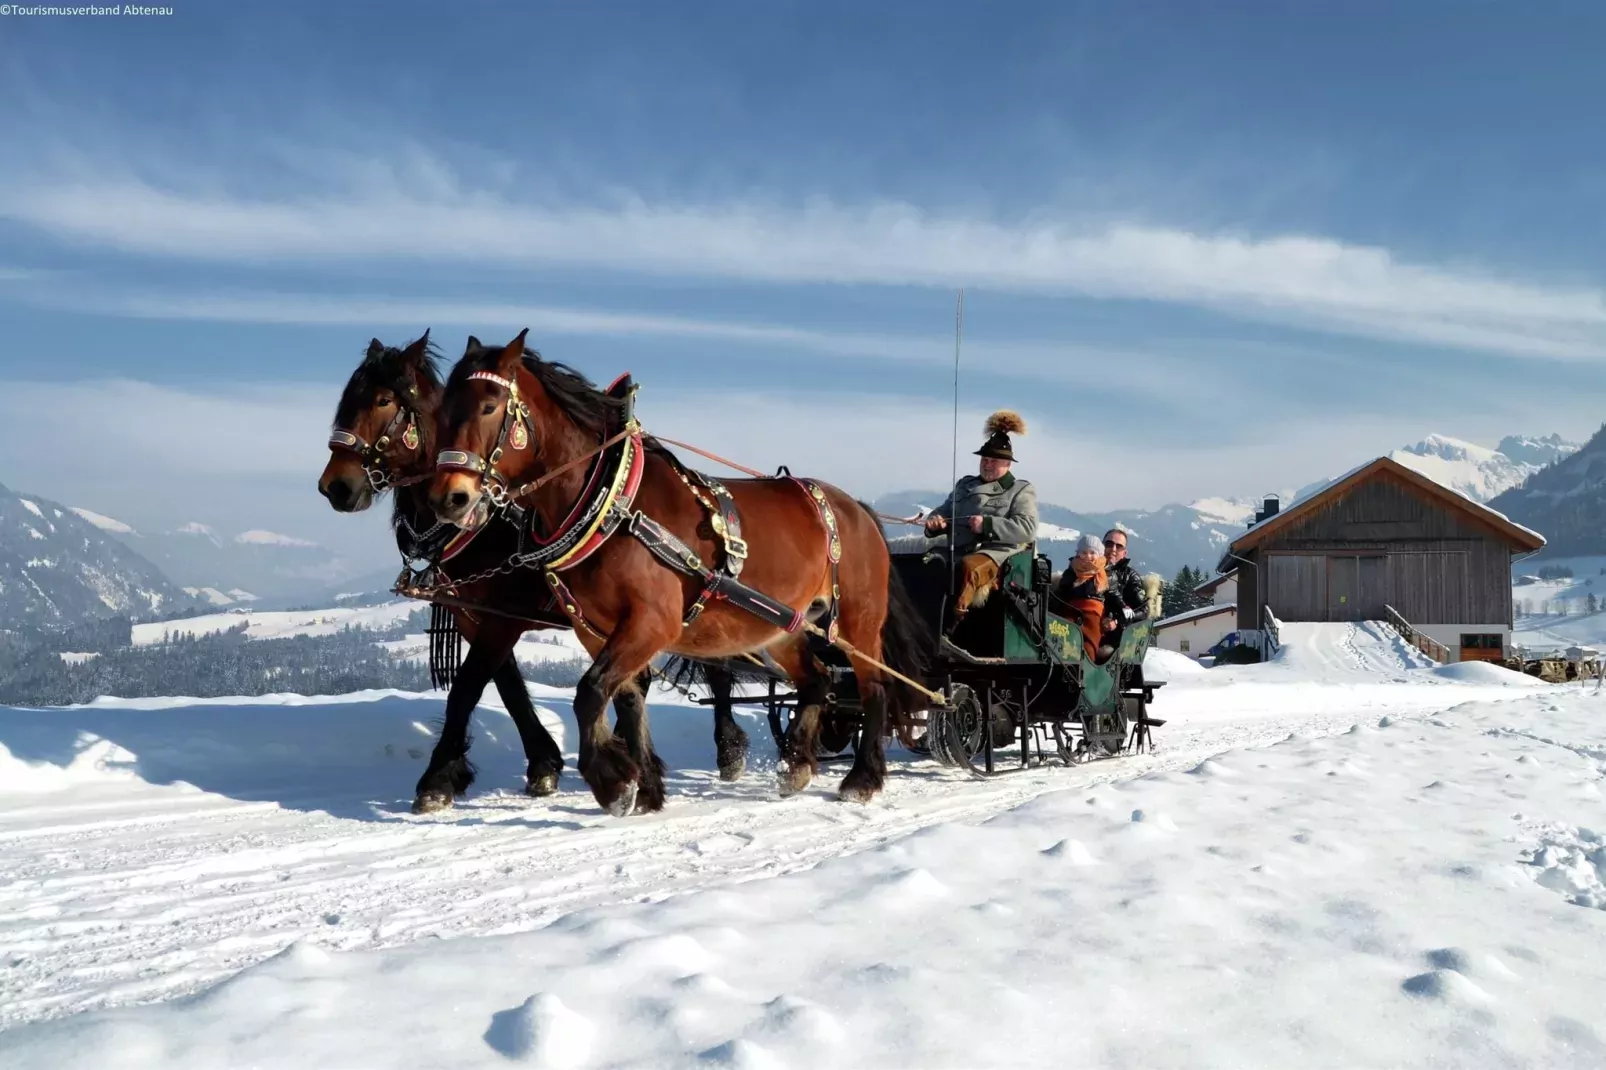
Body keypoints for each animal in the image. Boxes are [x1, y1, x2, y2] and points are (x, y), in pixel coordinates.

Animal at [427, 329, 937, 812]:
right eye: (442, 412)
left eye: (489, 406)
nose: (448, 498)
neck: (612, 504)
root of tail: (857, 509)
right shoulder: (594, 628)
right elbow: (625, 698)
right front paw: (646, 788)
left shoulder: (653, 621)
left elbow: (589, 692)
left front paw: (612, 782)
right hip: (783, 626)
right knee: (818, 680)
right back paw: (796, 765)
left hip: (857, 620)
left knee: (874, 687)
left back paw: (862, 778)